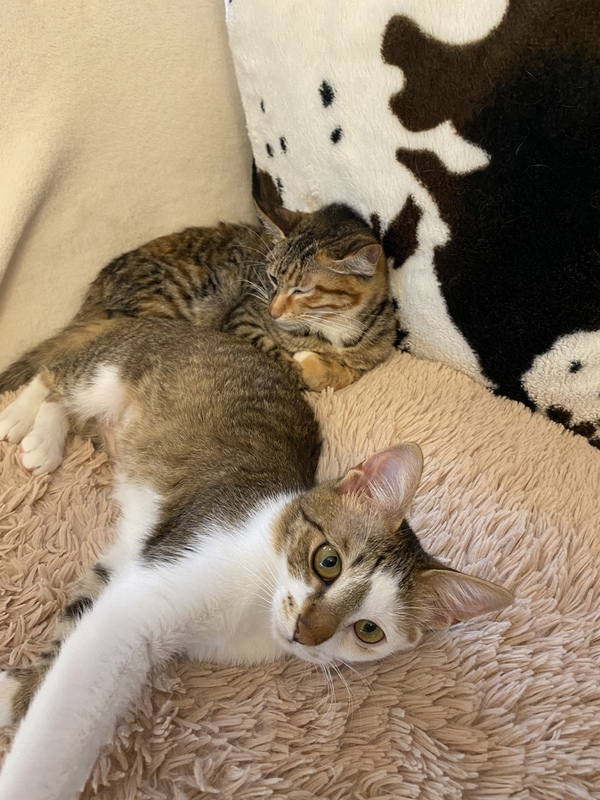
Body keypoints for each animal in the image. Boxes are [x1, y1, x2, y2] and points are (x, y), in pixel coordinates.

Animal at [0, 202, 397, 399]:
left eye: (301, 289)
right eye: (272, 278)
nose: (273, 310)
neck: (333, 330)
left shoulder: (376, 352)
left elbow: (346, 372)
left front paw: (322, 367)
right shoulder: (243, 318)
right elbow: (278, 354)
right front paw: (301, 364)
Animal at [0, 318, 512, 799]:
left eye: (369, 631)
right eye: (328, 562)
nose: (305, 631)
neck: (254, 608)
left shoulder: (134, 568)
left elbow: (77, 625)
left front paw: (14, 690)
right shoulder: (151, 593)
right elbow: (73, 702)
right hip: (114, 370)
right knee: (57, 375)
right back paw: (26, 421)